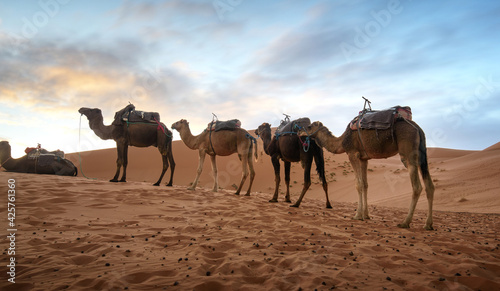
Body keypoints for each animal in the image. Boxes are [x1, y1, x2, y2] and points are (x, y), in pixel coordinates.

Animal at [298, 118, 436, 230]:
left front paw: (357, 215)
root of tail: (418, 129)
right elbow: (365, 184)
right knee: (429, 186)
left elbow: (358, 184)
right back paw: (428, 225)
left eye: (309, 126)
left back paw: (405, 223)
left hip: (408, 153)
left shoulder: (352, 153)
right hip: (422, 155)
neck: (342, 142)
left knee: (417, 186)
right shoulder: (364, 159)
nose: (299, 132)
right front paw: (366, 215)